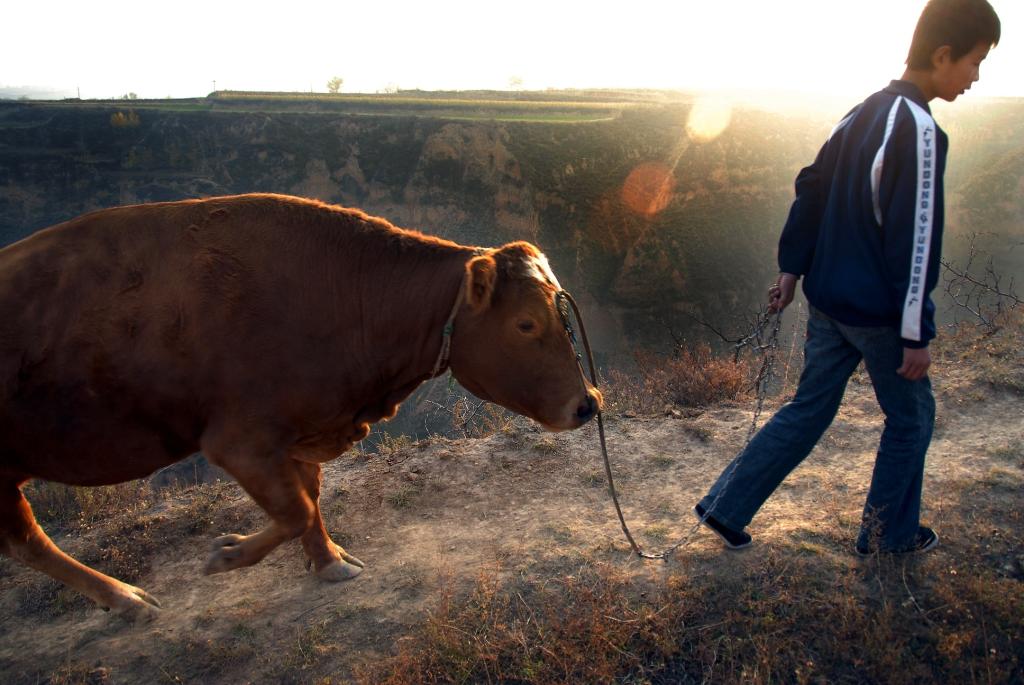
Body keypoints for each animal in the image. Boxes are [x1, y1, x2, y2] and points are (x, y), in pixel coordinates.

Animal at [0, 192, 602, 618]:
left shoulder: (302, 429)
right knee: (28, 541)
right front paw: (228, 555)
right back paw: (126, 597)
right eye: (525, 324)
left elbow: (309, 499)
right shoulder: (240, 441)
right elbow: (295, 509)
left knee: (24, 542)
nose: (588, 404)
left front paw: (328, 560)